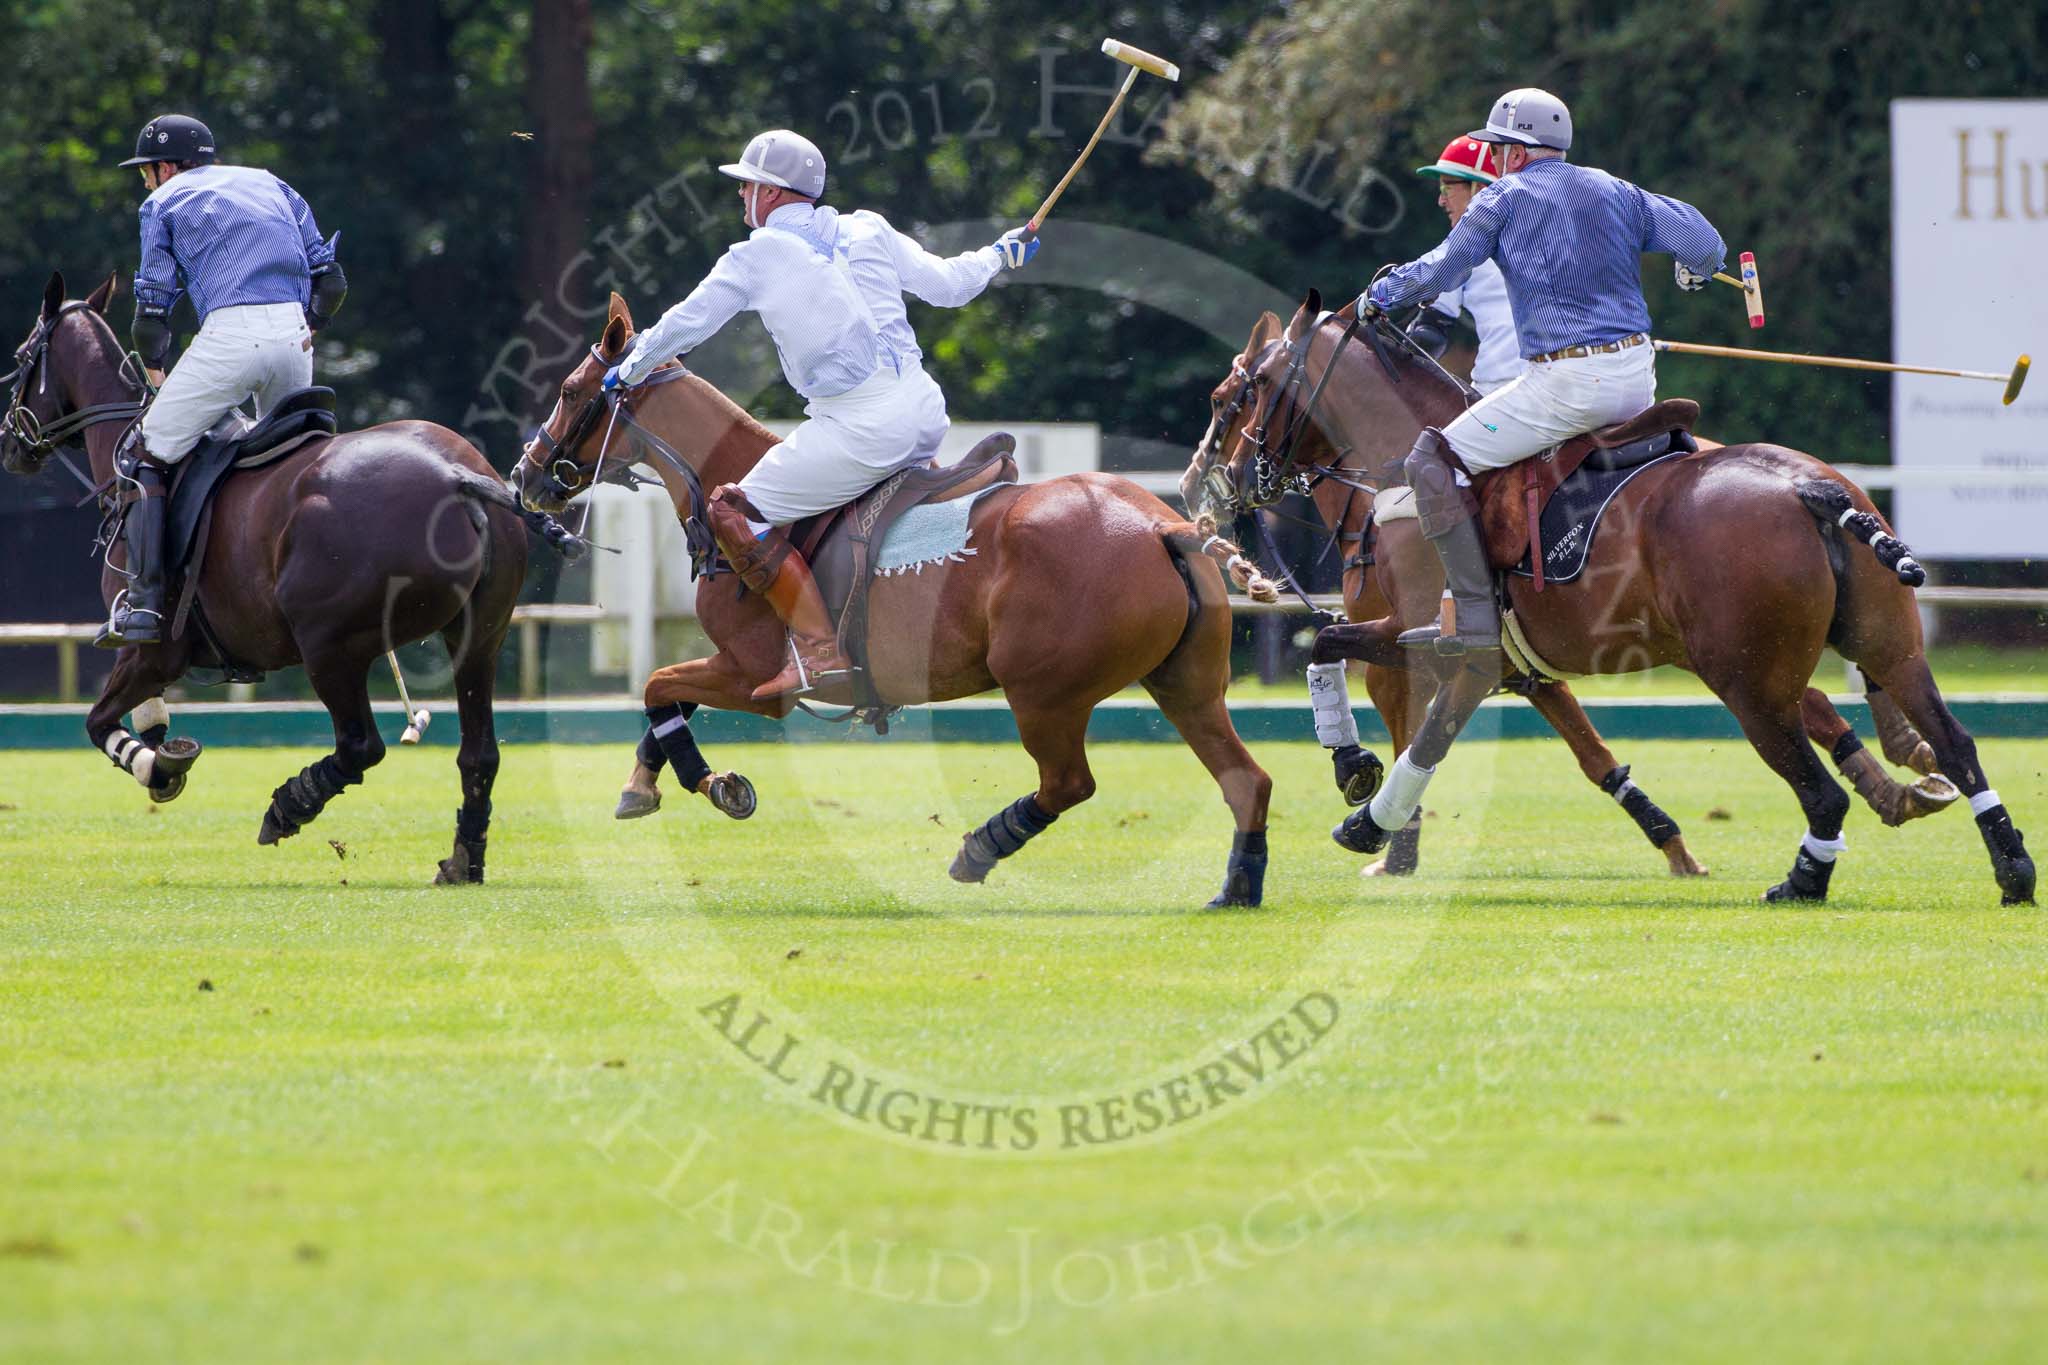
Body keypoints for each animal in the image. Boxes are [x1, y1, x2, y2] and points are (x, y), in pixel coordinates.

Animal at [4, 272, 528, 888]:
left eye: (20, 357)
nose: (10, 442)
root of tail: (457, 475)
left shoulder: (152, 649)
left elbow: (98, 722)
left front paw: (162, 768)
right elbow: (139, 718)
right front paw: (163, 753)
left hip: (328, 643)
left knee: (361, 745)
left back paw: (288, 806)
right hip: (479, 635)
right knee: (479, 752)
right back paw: (463, 858)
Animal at [512, 290, 1269, 908]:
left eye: (573, 389)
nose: (526, 475)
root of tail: (1167, 526)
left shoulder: (756, 674)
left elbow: (657, 683)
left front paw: (712, 784)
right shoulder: (730, 662)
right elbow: (664, 690)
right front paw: (648, 784)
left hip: (1043, 690)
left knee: (1069, 783)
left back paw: (981, 847)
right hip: (1185, 683)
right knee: (1246, 779)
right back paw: (1237, 887)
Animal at [1236, 290, 2023, 908]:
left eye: (1242, 389)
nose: (1229, 475)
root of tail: (1810, 487)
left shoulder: (1444, 645)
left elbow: (1367, 681)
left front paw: (1360, 791)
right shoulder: (1508, 662)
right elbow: (1543, 746)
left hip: (1744, 677)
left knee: (1820, 785)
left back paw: (1805, 878)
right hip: (1881, 641)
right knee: (1952, 739)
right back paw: (2004, 860)